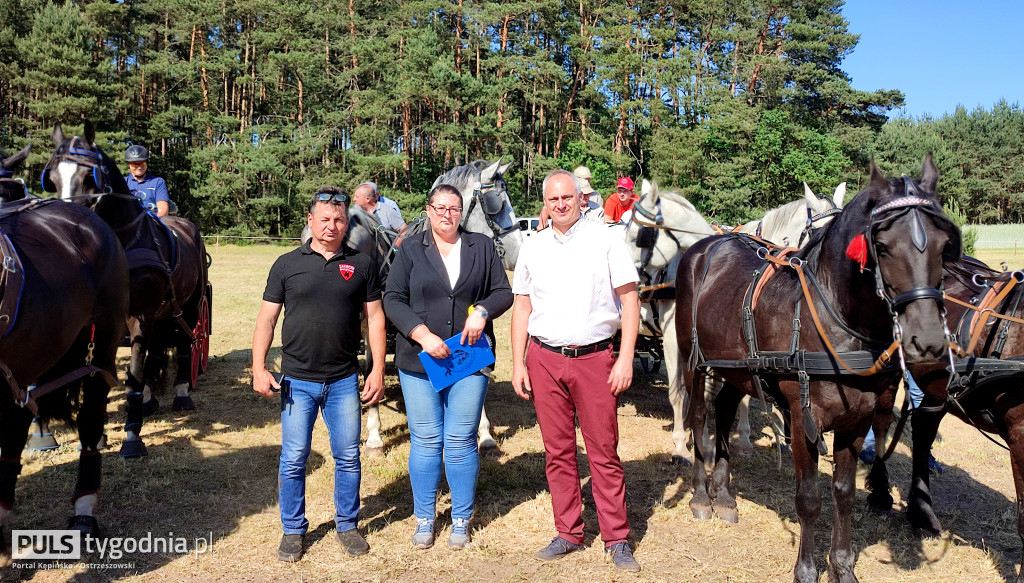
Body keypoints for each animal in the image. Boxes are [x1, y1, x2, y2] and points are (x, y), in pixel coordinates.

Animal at [44, 122, 211, 456]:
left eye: (89, 176)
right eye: (52, 177)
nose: (66, 223)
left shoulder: (140, 316)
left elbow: (132, 376)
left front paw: (133, 438)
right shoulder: (97, 323)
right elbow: (102, 375)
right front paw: (97, 435)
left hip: (190, 305)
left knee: (187, 343)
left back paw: (182, 393)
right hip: (163, 313)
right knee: (156, 353)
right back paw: (150, 399)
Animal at [679, 154, 958, 581]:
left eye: (944, 245)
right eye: (881, 246)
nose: (926, 338)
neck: (833, 320)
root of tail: (711, 240)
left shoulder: (856, 420)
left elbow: (844, 494)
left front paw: (842, 567)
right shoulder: (802, 417)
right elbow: (809, 497)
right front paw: (807, 570)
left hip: (738, 369)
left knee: (724, 411)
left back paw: (724, 495)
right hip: (695, 361)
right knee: (698, 417)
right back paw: (700, 496)